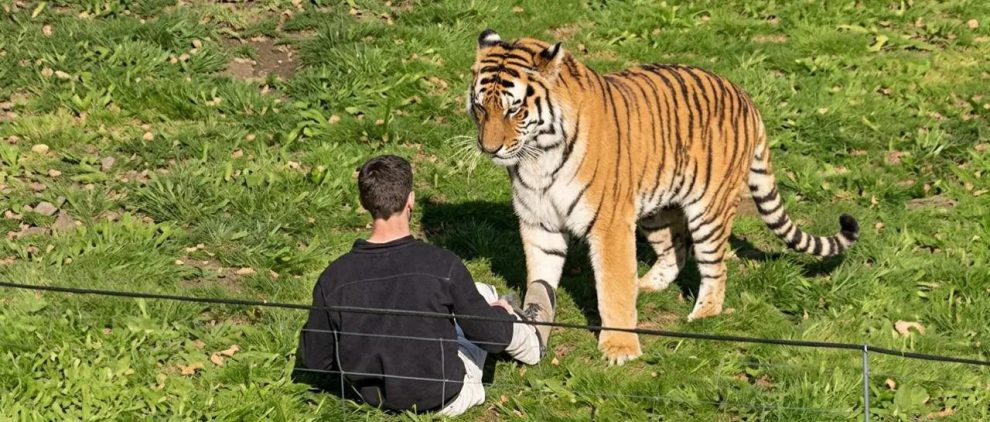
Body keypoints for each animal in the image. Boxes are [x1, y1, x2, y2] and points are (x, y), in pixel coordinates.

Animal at [467, 29, 860, 365]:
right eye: (481, 107)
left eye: (515, 109)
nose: (489, 148)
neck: (538, 157)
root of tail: (745, 97)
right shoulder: (539, 222)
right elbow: (542, 276)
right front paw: (536, 324)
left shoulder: (609, 225)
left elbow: (613, 286)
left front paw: (620, 349)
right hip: (656, 210)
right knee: (676, 251)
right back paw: (646, 285)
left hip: (709, 211)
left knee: (715, 267)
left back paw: (702, 315)